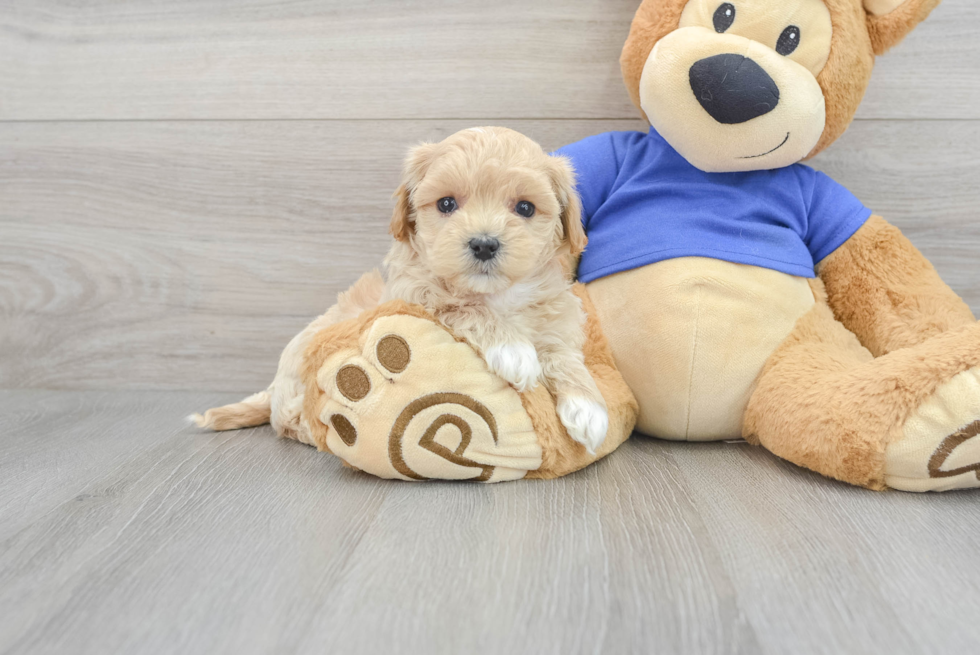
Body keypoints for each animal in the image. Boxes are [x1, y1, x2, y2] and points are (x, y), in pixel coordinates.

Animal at [195, 128, 608, 456]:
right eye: (446, 203)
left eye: (525, 207)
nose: (484, 244)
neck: (499, 295)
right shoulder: (416, 296)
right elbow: (464, 308)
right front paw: (514, 350)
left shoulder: (556, 316)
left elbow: (563, 356)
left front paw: (588, 407)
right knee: (289, 419)